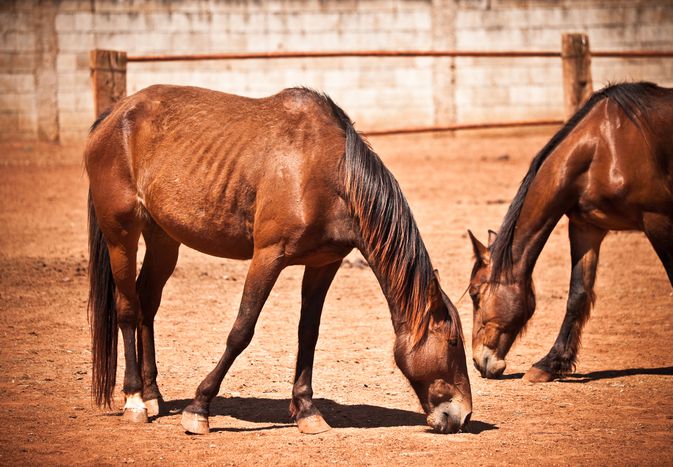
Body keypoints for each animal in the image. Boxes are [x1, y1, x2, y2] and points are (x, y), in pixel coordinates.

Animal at [85, 84, 472, 436]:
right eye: (454, 342)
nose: (463, 415)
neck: (329, 172)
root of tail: (114, 115)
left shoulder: (323, 264)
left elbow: (308, 332)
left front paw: (307, 410)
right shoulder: (268, 256)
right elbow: (241, 331)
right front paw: (199, 408)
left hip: (164, 239)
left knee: (147, 305)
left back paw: (153, 395)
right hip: (121, 236)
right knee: (127, 309)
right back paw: (135, 400)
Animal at [468, 83, 672, 384]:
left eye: (474, 294)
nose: (479, 362)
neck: (602, 147)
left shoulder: (658, 220)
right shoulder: (587, 228)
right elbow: (578, 295)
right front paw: (550, 363)